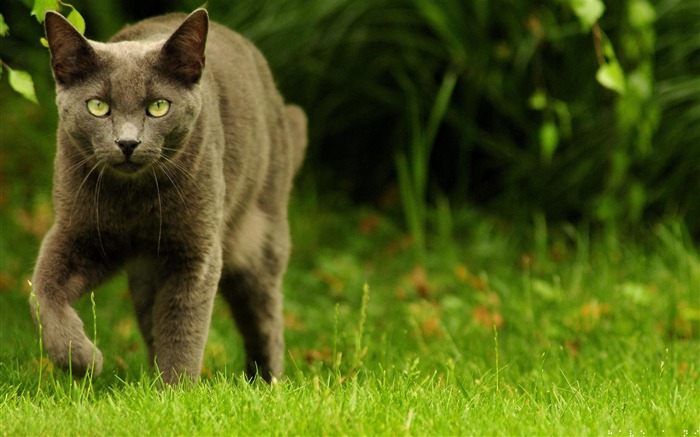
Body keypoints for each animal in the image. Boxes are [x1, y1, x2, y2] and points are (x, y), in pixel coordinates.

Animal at [30, 8, 304, 384]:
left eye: (158, 106)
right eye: (98, 106)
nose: (127, 142)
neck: (134, 199)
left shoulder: (196, 250)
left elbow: (182, 325)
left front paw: (176, 391)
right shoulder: (77, 231)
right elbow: (41, 290)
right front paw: (82, 359)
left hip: (259, 240)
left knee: (265, 321)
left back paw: (266, 383)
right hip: (146, 272)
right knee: (150, 319)